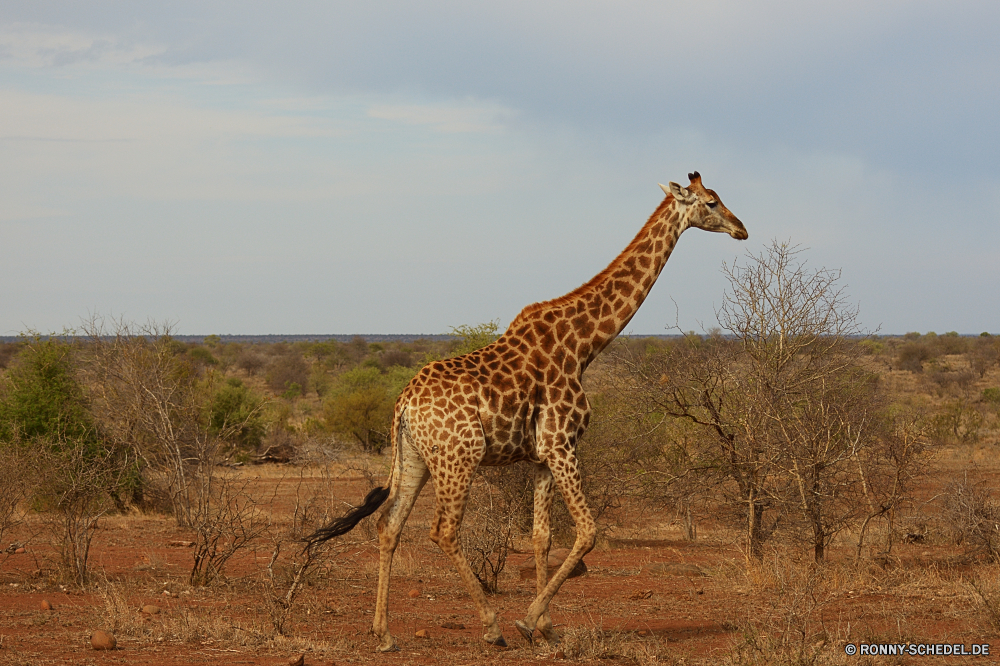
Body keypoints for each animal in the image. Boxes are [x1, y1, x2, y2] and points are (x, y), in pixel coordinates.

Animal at [308, 170, 748, 648]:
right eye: (711, 202)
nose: (742, 229)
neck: (583, 346)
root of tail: (403, 404)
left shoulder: (541, 456)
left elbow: (542, 537)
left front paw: (547, 627)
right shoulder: (561, 443)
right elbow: (588, 531)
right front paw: (527, 619)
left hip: (415, 458)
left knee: (389, 525)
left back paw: (384, 632)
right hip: (459, 457)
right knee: (443, 530)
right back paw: (491, 626)